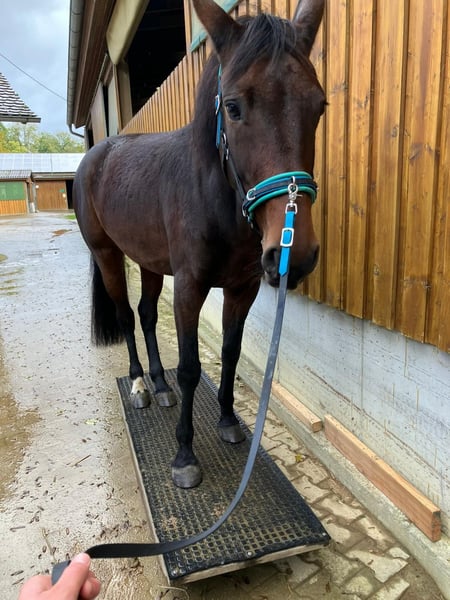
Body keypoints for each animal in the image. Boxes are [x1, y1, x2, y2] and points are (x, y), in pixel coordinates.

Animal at [73, 0, 326, 489]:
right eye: (233, 107)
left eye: (320, 106)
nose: (297, 255)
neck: (212, 196)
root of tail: (95, 155)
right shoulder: (190, 288)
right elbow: (192, 367)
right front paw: (184, 455)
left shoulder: (242, 288)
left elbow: (229, 353)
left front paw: (228, 420)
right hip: (108, 255)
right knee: (126, 316)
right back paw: (139, 385)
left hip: (150, 263)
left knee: (148, 316)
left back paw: (159, 384)